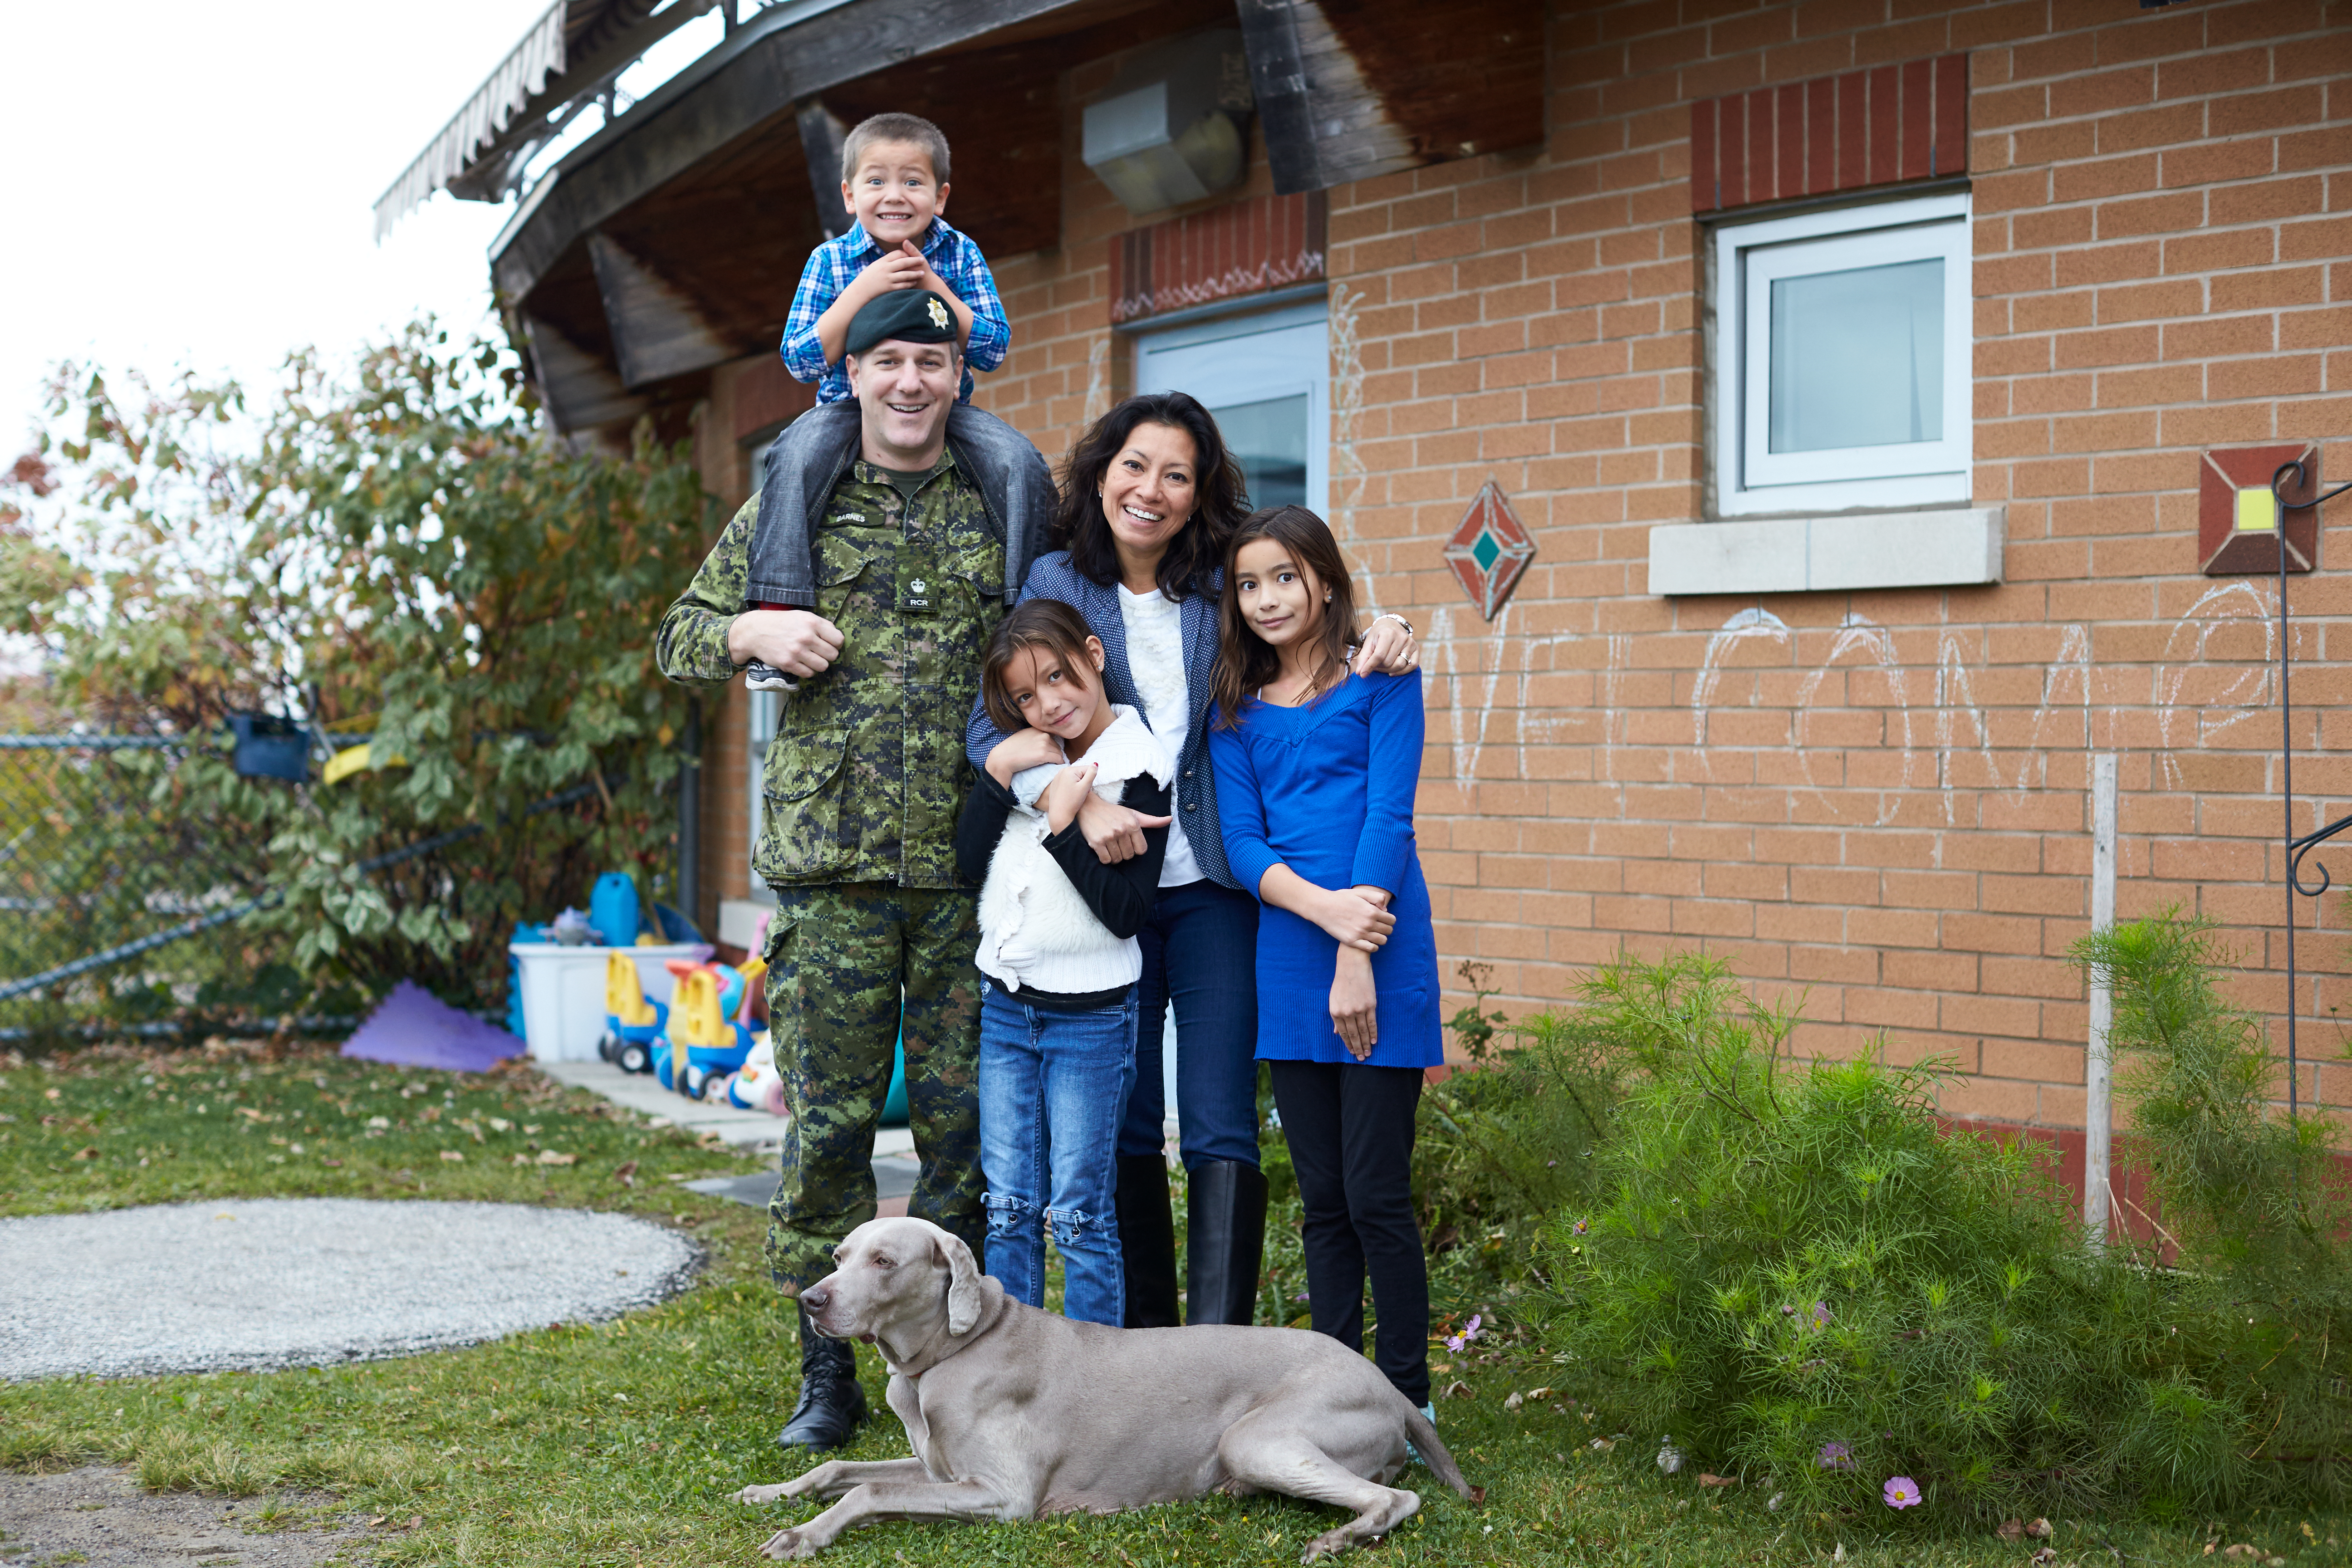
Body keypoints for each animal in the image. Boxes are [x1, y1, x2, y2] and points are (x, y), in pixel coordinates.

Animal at [738, 1213, 1467, 1561]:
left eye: (885, 1261)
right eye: (838, 1257)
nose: (810, 1300)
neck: (948, 1354)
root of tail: (1386, 1385)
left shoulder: (1002, 1496)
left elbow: (867, 1492)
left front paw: (802, 1535)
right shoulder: (940, 1473)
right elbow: (839, 1467)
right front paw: (772, 1493)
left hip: (1256, 1438)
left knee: (1398, 1497)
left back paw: (1342, 1539)